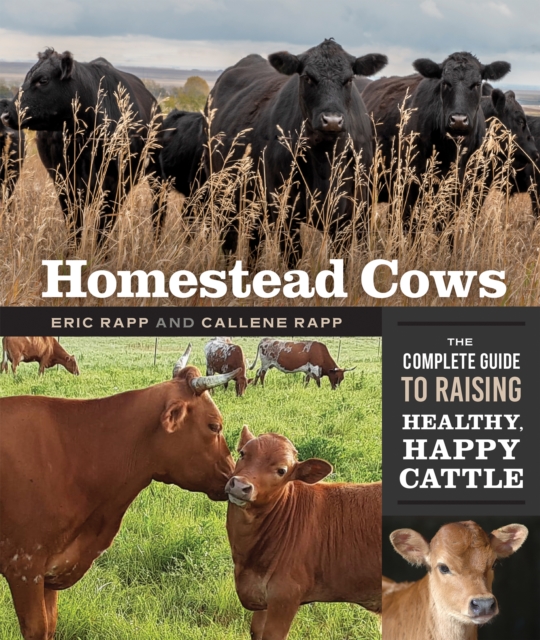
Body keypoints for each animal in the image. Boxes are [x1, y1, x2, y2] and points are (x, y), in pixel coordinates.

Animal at [0, 345, 239, 640]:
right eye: (215, 426)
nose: (233, 478)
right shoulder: (24, 566)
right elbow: (37, 628)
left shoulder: (48, 572)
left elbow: (50, 625)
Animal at [3, 50, 163, 246]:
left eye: (43, 80)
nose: (6, 115)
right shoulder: (65, 183)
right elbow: (75, 227)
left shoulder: (116, 185)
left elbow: (103, 229)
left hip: (156, 173)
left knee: (158, 209)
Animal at [206, 40, 388, 265]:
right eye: (308, 77)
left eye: (349, 79)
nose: (332, 121)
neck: (324, 161)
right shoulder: (284, 212)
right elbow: (293, 259)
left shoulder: (351, 214)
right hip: (224, 194)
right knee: (230, 240)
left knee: (254, 243)